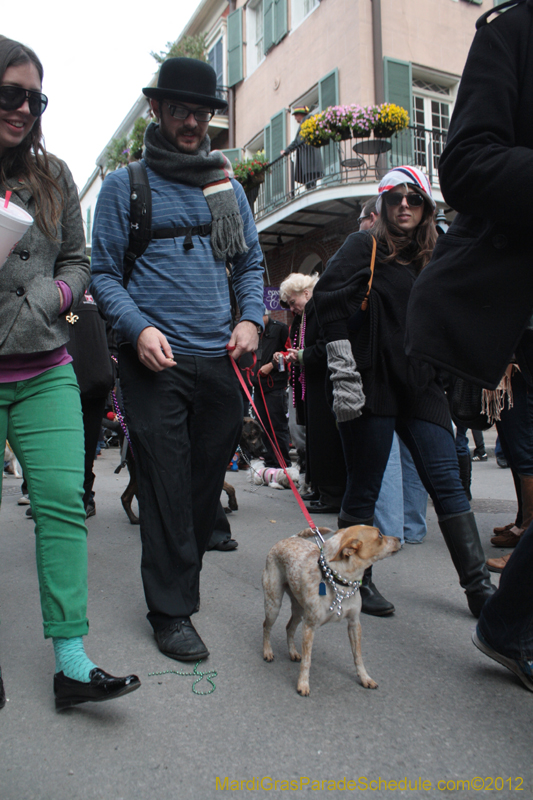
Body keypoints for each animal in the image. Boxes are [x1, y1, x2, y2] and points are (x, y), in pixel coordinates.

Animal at [262, 524, 400, 692]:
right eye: (379, 535)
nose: (399, 539)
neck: (340, 582)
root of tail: (290, 538)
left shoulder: (354, 623)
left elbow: (358, 657)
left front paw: (365, 678)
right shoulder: (309, 627)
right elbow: (307, 661)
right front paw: (303, 683)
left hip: (299, 610)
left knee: (289, 628)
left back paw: (293, 652)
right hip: (273, 605)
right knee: (266, 627)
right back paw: (267, 651)